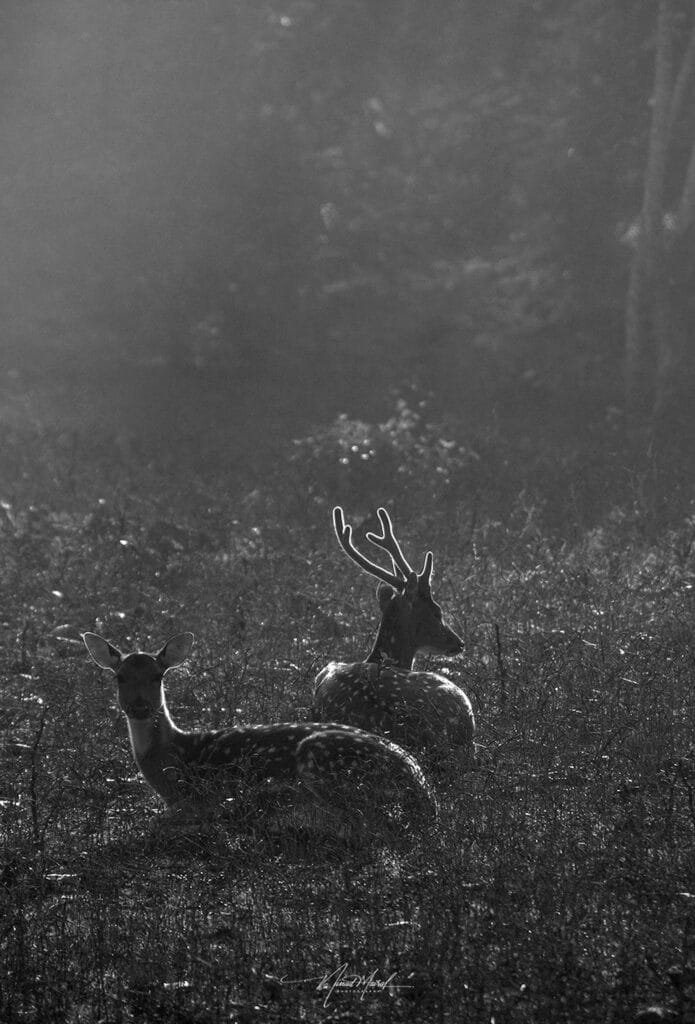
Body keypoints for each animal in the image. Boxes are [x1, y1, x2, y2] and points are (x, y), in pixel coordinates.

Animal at [81, 631, 437, 834]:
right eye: (119, 677)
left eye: (158, 675)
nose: (140, 707)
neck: (173, 760)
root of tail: (423, 789)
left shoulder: (198, 797)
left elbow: (160, 820)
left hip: (322, 762)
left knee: (364, 824)